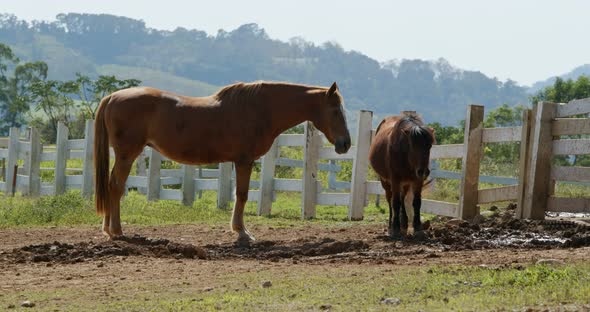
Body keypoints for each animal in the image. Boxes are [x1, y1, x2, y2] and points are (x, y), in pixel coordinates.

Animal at [95, 80, 350, 241]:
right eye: (336, 111)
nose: (345, 143)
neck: (260, 109)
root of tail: (112, 97)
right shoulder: (244, 160)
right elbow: (243, 195)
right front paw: (242, 232)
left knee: (110, 185)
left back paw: (107, 229)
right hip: (127, 154)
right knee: (115, 186)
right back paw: (116, 230)